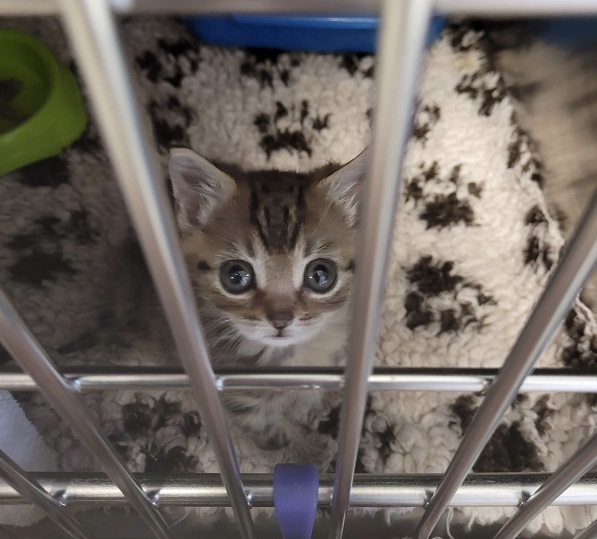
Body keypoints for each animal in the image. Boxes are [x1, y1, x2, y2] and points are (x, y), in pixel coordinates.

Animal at [165, 149, 366, 464]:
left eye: (321, 274)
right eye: (236, 276)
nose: (281, 319)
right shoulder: (234, 397)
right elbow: (271, 432)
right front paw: (309, 455)